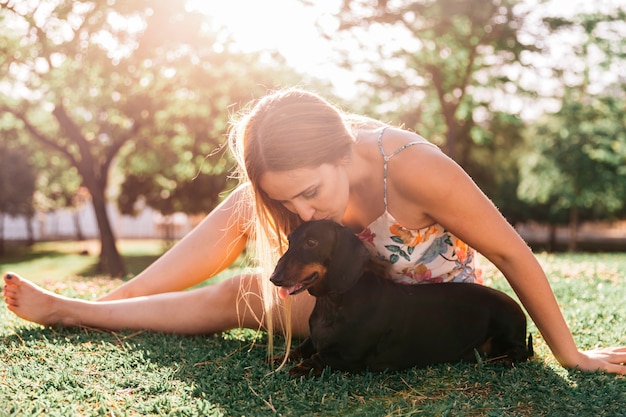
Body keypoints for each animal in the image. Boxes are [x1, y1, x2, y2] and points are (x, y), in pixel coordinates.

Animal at [268, 219, 532, 376]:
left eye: (311, 242)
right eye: (290, 241)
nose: (274, 278)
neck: (333, 304)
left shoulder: (347, 357)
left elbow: (318, 357)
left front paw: (299, 368)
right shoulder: (313, 340)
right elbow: (301, 349)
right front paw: (280, 357)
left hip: (507, 330)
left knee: (521, 352)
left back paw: (505, 360)